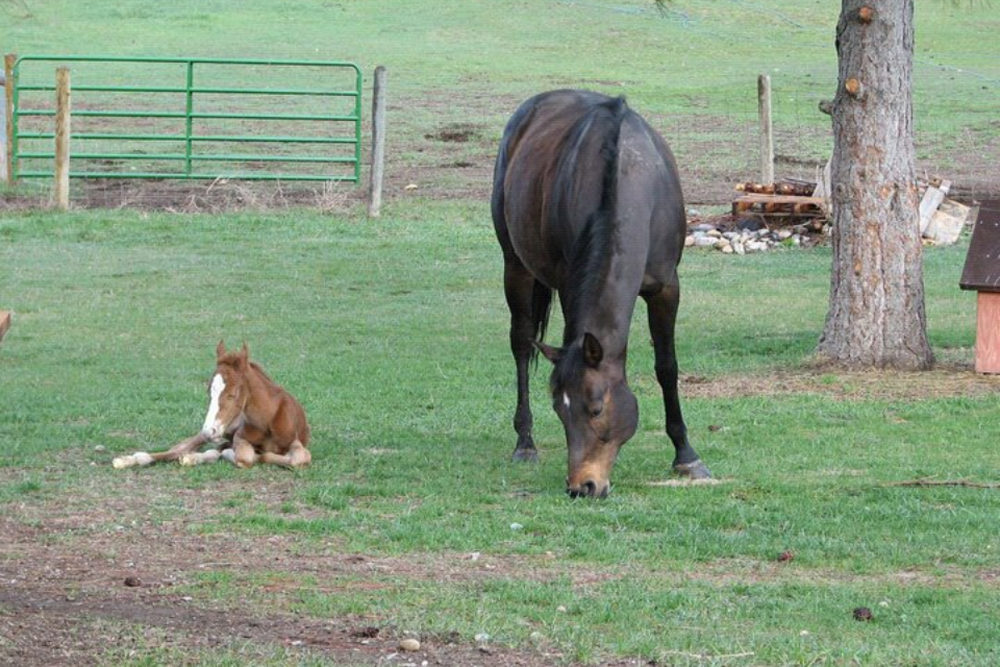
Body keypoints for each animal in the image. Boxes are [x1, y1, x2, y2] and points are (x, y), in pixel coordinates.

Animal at [112, 344, 312, 470]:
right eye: (209, 391)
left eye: (233, 394)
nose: (209, 430)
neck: (269, 419)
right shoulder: (239, 438)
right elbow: (245, 457)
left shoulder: (295, 443)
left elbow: (298, 459)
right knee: (180, 449)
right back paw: (129, 460)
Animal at [492, 88, 712, 498]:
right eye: (560, 410)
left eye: (595, 409)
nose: (582, 486)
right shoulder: (568, 284)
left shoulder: (666, 288)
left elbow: (667, 367)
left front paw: (686, 455)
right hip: (515, 265)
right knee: (521, 344)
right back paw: (525, 442)